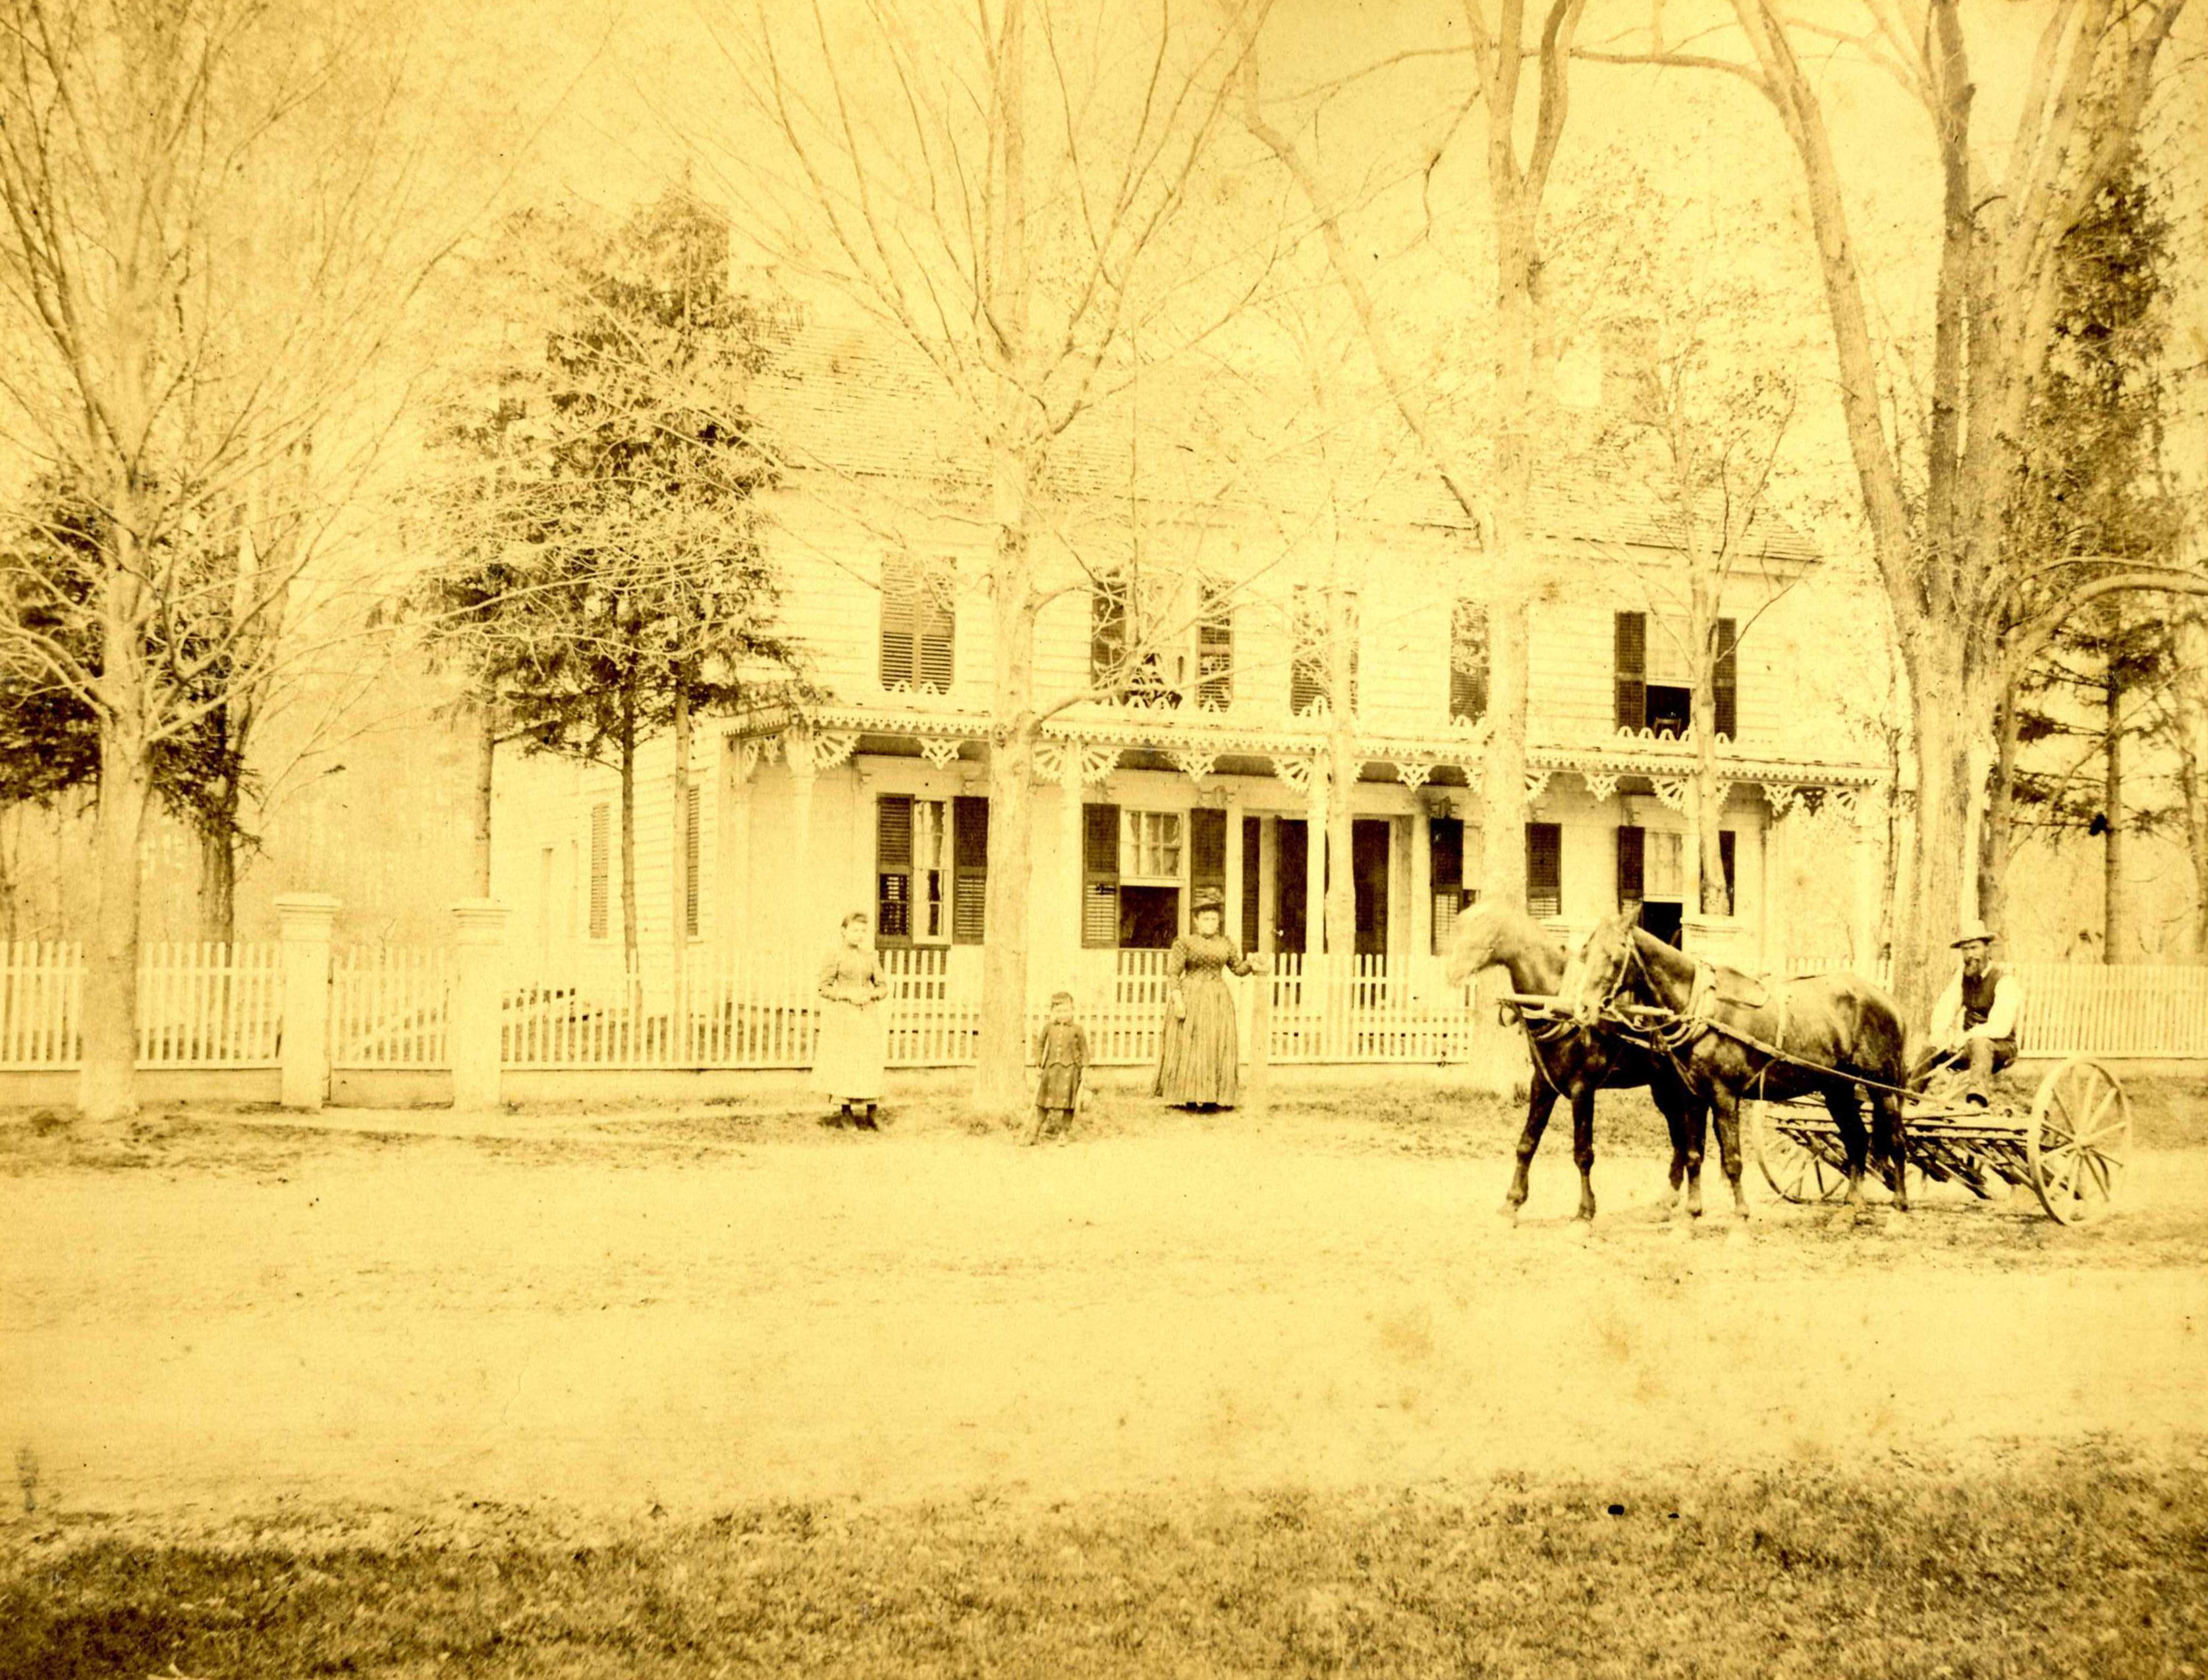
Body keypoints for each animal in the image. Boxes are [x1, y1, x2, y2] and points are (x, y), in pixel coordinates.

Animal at [1448, 905, 1704, 1218]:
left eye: (1481, 929)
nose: (1450, 971)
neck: (1559, 1001)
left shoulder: (1583, 1087)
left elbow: (1583, 1152)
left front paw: (1585, 1211)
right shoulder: (1543, 1083)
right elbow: (1527, 1142)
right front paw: (1513, 1202)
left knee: (1689, 1138)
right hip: (1663, 1087)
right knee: (1680, 1137)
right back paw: (1667, 1200)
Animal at [1563, 905, 1908, 1218]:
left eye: (1613, 957)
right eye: (1586, 953)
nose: (1582, 1009)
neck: (1705, 1010)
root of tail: (1889, 1001)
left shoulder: (1725, 1095)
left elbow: (1732, 1158)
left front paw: (1741, 1212)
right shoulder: (1693, 1095)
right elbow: (1694, 1153)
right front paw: (1693, 1212)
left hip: (1881, 1087)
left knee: (1895, 1139)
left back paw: (1900, 1204)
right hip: (1838, 1087)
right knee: (1857, 1138)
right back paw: (1853, 1203)